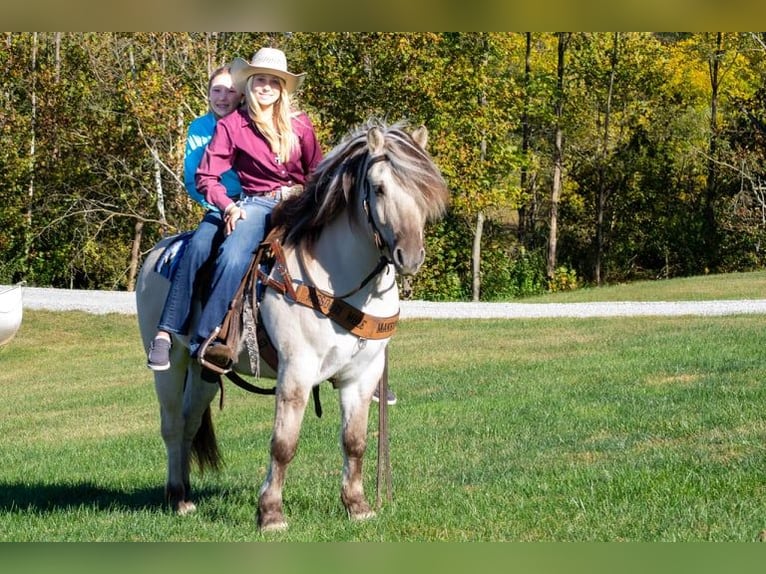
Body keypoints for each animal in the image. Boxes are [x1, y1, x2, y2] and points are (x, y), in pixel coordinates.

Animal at [136, 120, 450, 532]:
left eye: (424, 192)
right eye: (379, 187)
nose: (410, 256)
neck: (340, 281)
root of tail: (158, 253)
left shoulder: (363, 374)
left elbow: (355, 441)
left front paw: (358, 506)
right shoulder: (296, 370)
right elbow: (283, 444)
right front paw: (270, 513)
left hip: (204, 372)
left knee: (189, 423)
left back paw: (187, 497)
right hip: (171, 363)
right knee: (172, 425)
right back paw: (175, 496)